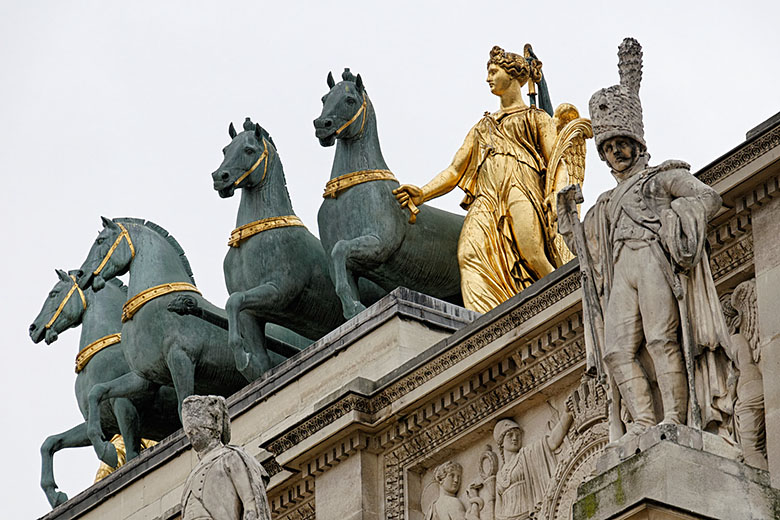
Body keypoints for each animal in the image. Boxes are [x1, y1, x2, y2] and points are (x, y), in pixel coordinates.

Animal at [29, 270, 177, 506]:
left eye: (54, 293)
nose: (32, 329)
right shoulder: (104, 424)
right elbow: (50, 442)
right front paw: (55, 495)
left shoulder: (124, 406)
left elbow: (130, 455)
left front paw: (108, 453)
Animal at [210, 118, 380, 378]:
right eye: (225, 150)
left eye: (249, 150)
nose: (220, 178)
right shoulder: (251, 315)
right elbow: (238, 311)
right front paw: (247, 363)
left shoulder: (280, 290)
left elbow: (235, 300)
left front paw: (243, 357)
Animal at [316, 70, 466, 316]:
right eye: (324, 99)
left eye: (350, 100)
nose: (321, 126)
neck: (347, 192)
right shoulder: (342, 265)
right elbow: (340, 265)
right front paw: (352, 308)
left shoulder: (379, 244)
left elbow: (341, 248)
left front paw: (353, 306)